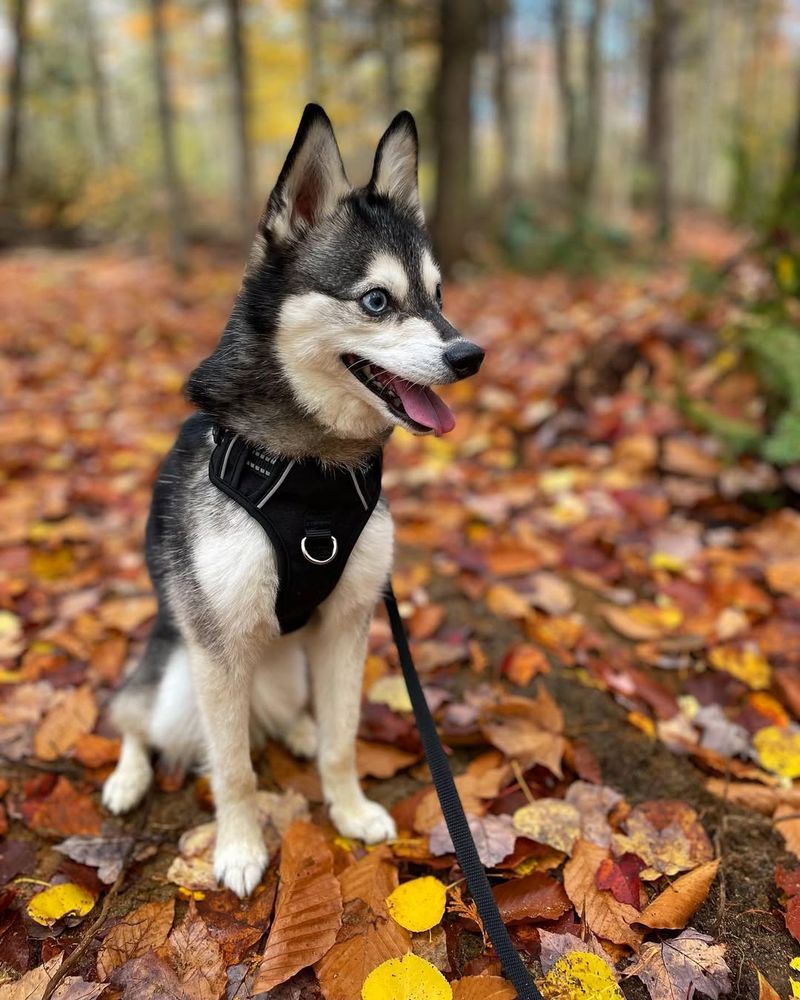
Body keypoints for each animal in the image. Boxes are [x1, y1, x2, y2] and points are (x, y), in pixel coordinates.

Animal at [103, 105, 484, 896]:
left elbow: (343, 739)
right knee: (132, 714)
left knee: (280, 720)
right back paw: (127, 777)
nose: (470, 356)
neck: (311, 471)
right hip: (177, 676)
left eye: (439, 295)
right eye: (377, 300)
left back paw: (299, 729)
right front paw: (240, 848)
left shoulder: (348, 623)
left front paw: (350, 810)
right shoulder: (217, 648)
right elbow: (235, 773)